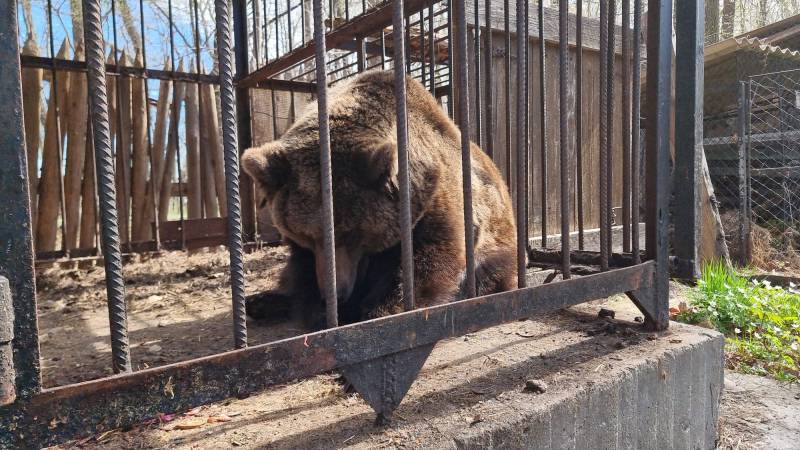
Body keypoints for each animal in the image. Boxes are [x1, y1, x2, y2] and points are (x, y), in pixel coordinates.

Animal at [241, 70, 517, 329]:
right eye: (307, 236)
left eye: (352, 233)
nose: (335, 294)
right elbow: (302, 272)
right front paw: (320, 311)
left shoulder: (436, 201)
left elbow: (427, 262)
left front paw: (381, 311)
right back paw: (260, 302)